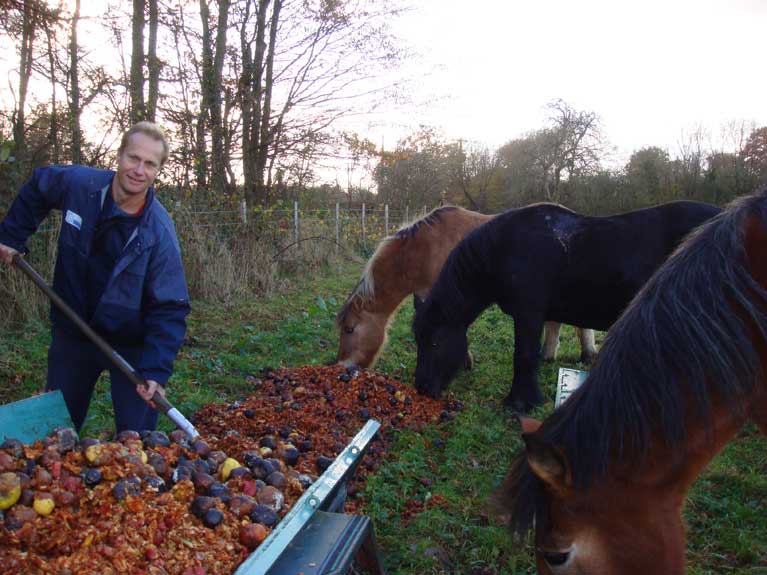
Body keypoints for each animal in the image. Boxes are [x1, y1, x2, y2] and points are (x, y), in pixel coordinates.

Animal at [414, 199, 720, 414]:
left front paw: (521, 403)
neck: (505, 249)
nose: (422, 388)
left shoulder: (529, 314)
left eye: (435, 342)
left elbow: (524, 356)